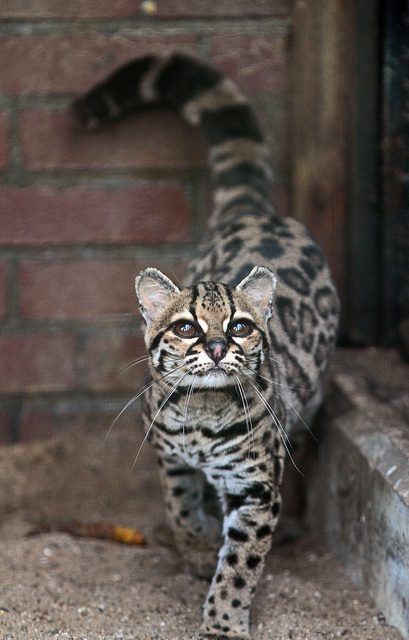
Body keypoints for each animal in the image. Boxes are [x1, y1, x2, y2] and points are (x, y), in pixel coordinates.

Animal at [72, 53, 338, 640]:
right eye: (187, 328)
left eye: (239, 327)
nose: (216, 346)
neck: (202, 415)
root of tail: (252, 212)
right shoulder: (164, 448)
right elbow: (177, 503)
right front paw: (194, 547)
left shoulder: (256, 485)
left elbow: (241, 562)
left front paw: (223, 621)